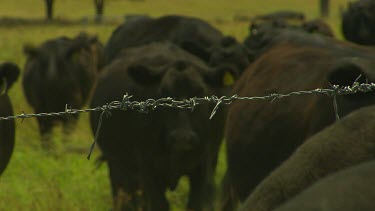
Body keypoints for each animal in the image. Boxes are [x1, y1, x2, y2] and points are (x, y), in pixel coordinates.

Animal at [91, 42, 232, 210]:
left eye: (199, 91)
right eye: (163, 93)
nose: (182, 138)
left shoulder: (203, 167)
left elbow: (195, 203)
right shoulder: (148, 170)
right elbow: (159, 204)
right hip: (117, 165)